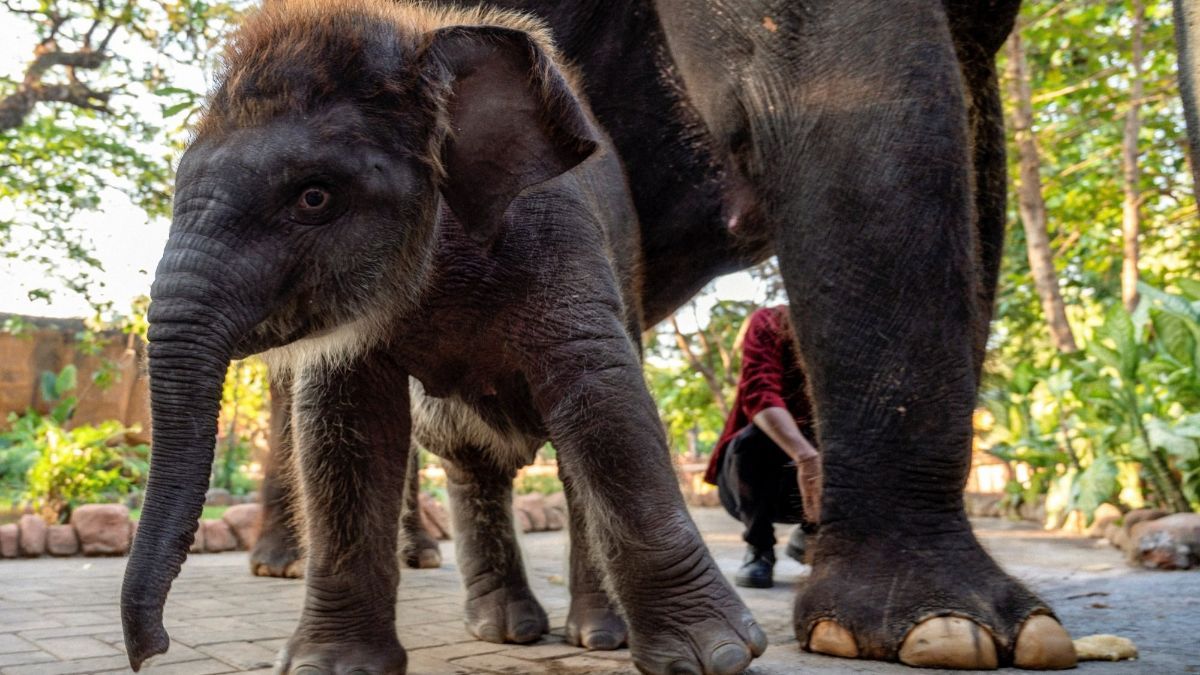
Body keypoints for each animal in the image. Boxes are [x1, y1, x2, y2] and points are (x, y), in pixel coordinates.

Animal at [119, 1, 758, 672]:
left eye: (314, 197)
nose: (151, 650)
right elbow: (345, 426)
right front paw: (334, 665)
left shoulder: (558, 232)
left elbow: (606, 405)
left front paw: (715, 655)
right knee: (467, 450)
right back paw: (506, 630)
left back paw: (598, 636)